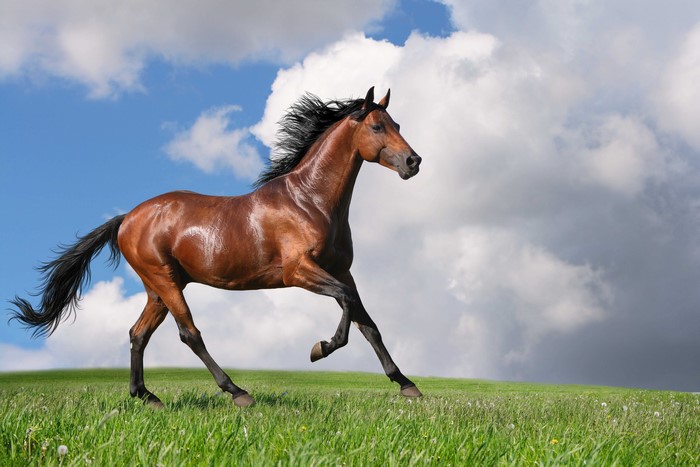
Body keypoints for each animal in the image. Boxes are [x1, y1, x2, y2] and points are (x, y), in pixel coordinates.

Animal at [9, 87, 423, 407]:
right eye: (377, 126)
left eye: (398, 125)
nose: (413, 161)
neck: (310, 201)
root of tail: (127, 218)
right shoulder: (299, 271)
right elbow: (348, 308)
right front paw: (320, 348)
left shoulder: (342, 270)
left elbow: (368, 323)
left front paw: (407, 385)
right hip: (165, 281)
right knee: (189, 333)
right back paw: (237, 392)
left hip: (158, 287)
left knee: (138, 333)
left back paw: (147, 397)